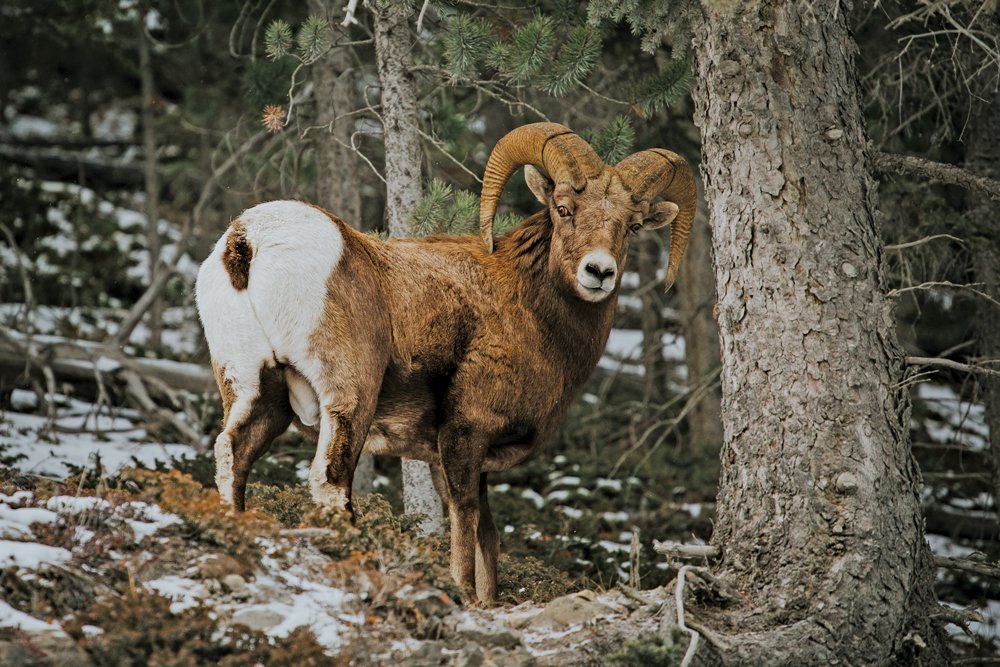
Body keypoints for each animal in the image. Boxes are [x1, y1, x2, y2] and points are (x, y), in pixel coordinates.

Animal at [195, 121, 696, 604]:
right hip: (348, 398)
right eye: (563, 208)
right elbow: (465, 518)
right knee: (331, 481)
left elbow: (488, 537)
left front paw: (488, 600)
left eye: (632, 225)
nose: (599, 272)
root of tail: (248, 241)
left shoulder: (449, 454)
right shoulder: (466, 433)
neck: (530, 309)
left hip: (255, 391)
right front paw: (464, 594)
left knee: (232, 455)